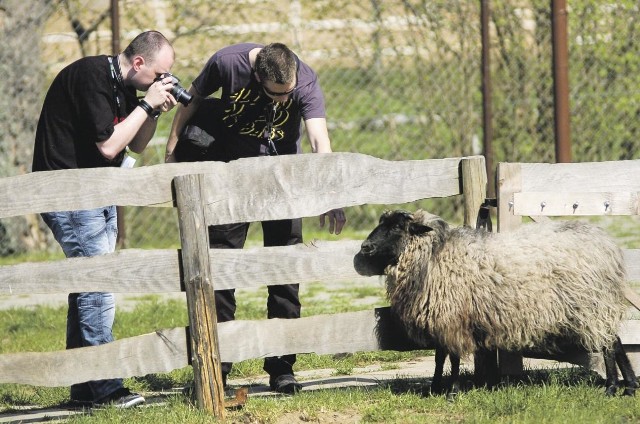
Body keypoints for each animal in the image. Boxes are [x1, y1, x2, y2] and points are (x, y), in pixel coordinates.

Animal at [352, 210, 636, 396]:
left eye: (396, 228)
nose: (365, 247)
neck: (434, 255)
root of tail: (607, 244)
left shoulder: (453, 318)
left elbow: (453, 358)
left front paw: (452, 391)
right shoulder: (440, 317)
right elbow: (439, 357)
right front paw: (433, 388)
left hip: (592, 303)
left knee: (607, 343)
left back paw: (612, 387)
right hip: (595, 303)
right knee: (615, 341)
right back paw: (630, 386)